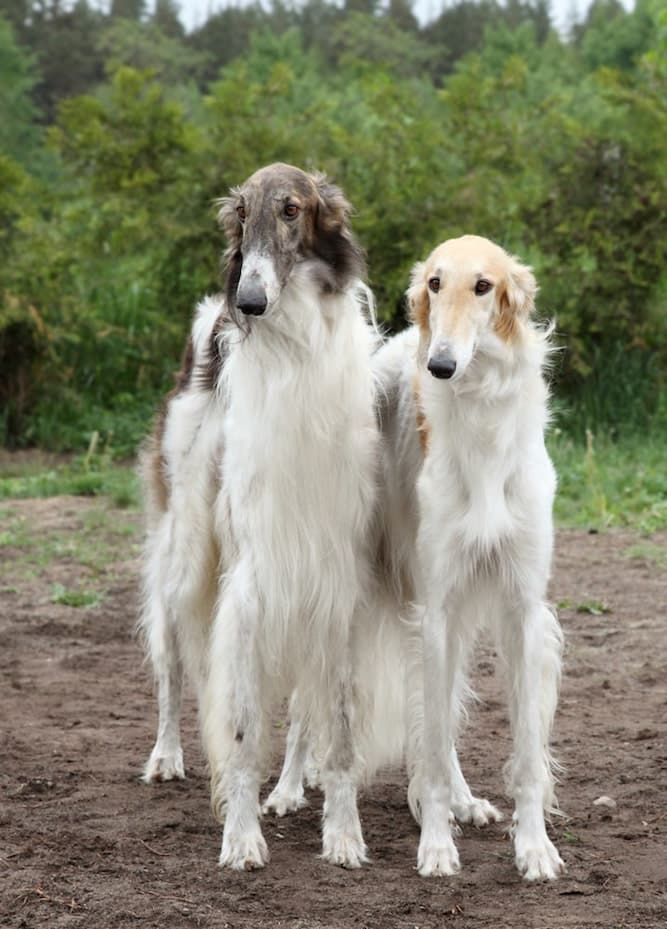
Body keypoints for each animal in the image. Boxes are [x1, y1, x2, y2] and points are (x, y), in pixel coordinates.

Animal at [138, 165, 378, 872]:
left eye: (292, 209)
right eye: (240, 215)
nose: (248, 301)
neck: (294, 356)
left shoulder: (335, 579)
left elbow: (338, 728)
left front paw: (342, 833)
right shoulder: (249, 580)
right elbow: (242, 727)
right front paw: (241, 837)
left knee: (301, 707)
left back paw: (295, 785)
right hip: (186, 553)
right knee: (171, 664)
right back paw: (166, 756)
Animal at [376, 236, 564, 880]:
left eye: (483, 286)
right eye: (434, 283)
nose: (440, 365)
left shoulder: (524, 608)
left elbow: (527, 752)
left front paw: (534, 848)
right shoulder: (434, 607)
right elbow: (432, 742)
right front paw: (435, 845)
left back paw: (465, 800)